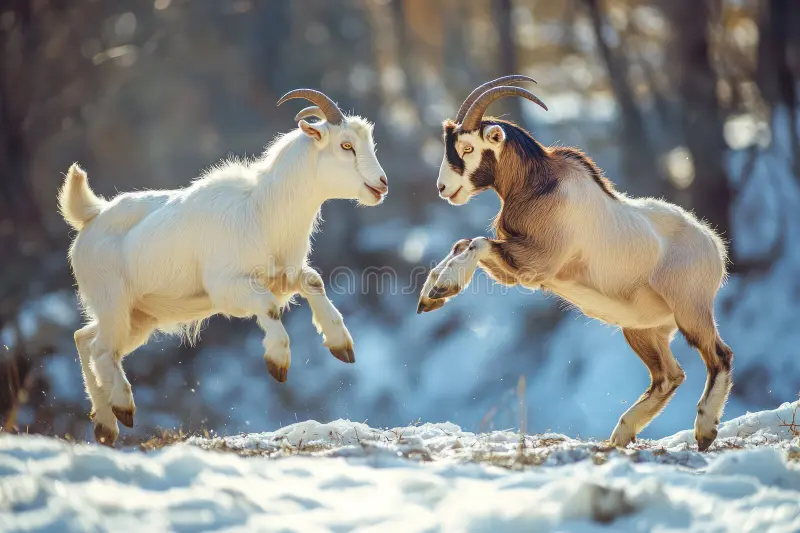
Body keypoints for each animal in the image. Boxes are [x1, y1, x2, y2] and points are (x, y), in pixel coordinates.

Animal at [59, 89, 388, 446]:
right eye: (346, 145)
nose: (381, 184)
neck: (262, 209)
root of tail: (91, 216)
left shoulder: (283, 275)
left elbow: (312, 281)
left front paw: (342, 345)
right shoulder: (228, 288)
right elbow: (268, 308)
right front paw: (278, 363)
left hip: (138, 318)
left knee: (86, 339)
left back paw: (106, 426)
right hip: (114, 305)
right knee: (102, 350)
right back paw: (122, 407)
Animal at [418, 76, 733, 451]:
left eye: (467, 148)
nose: (442, 187)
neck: (540, 185)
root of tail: (713, 245)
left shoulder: (534, 266)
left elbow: (477, 242)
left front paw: (443, 286)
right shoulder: (514, 268)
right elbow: (463, 243)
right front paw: (430, 294)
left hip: (690, 311)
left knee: (719, 356)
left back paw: (704, 431)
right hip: (642, 328)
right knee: (669, 376)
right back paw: (621, 435)